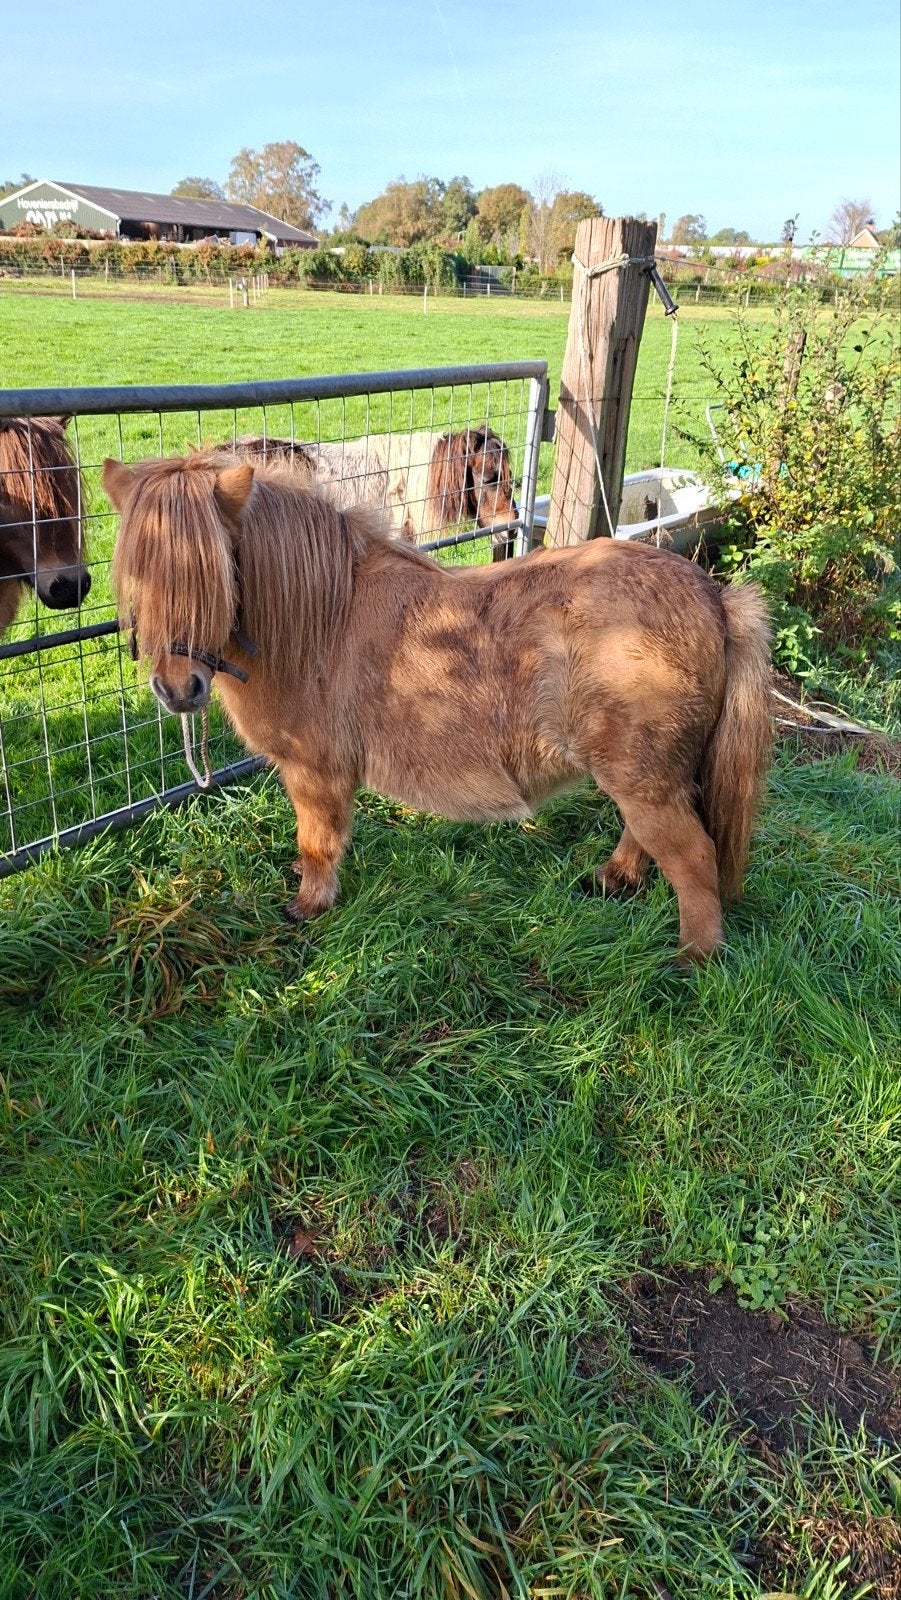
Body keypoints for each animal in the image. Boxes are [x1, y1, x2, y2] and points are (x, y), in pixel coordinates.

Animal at [103, 452, 772, 964]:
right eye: (137, 571)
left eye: (216, 573)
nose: (178, 689)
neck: (320, 618)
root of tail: (714, 597)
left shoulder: (315, 774)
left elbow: (318, 843)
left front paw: (309, 905)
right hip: (644, 778)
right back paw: (616, 880)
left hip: (645, 781)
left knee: (692, 858)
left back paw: (693, 960)